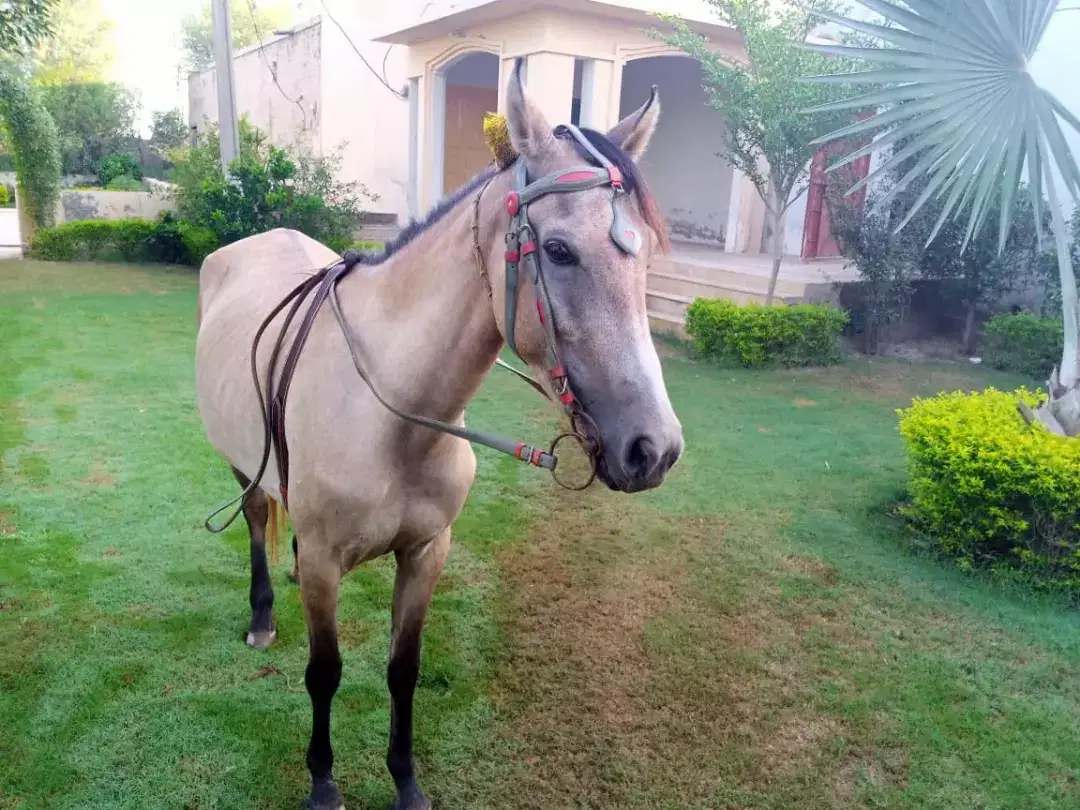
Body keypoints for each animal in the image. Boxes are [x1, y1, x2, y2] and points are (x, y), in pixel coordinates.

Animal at [194, 61, 683, 810]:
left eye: (649, 255)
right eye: (559, 250)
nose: (653, 447)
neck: (394, 419)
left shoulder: (427, 552)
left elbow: (404, 669)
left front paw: (406, 781)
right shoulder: (329, 564)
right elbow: (325, 672)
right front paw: (323, 781)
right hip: (242, 465)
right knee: (253, 517)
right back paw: (262, 616)